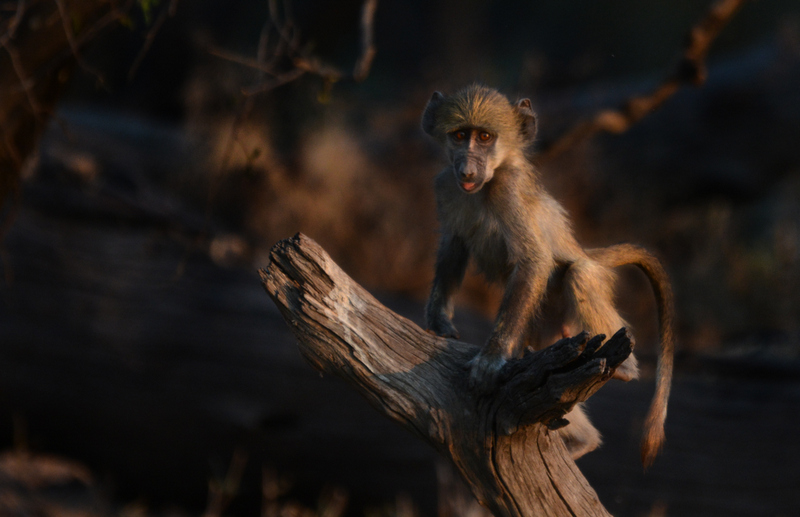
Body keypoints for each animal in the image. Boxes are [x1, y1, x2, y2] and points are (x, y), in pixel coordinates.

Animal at [421, 84, 674, 467]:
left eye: (485, 137)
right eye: (460, 136)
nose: (466, 170)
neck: (487, 184)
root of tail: (585, 250)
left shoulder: (509, 189)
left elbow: (534, 260)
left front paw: (491, 359)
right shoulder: (445, 186)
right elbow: (454, 246)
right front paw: (439, 322)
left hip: (567, 299)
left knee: (579, 273)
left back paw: (625, 370)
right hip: (547, 327)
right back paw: (583, 440)